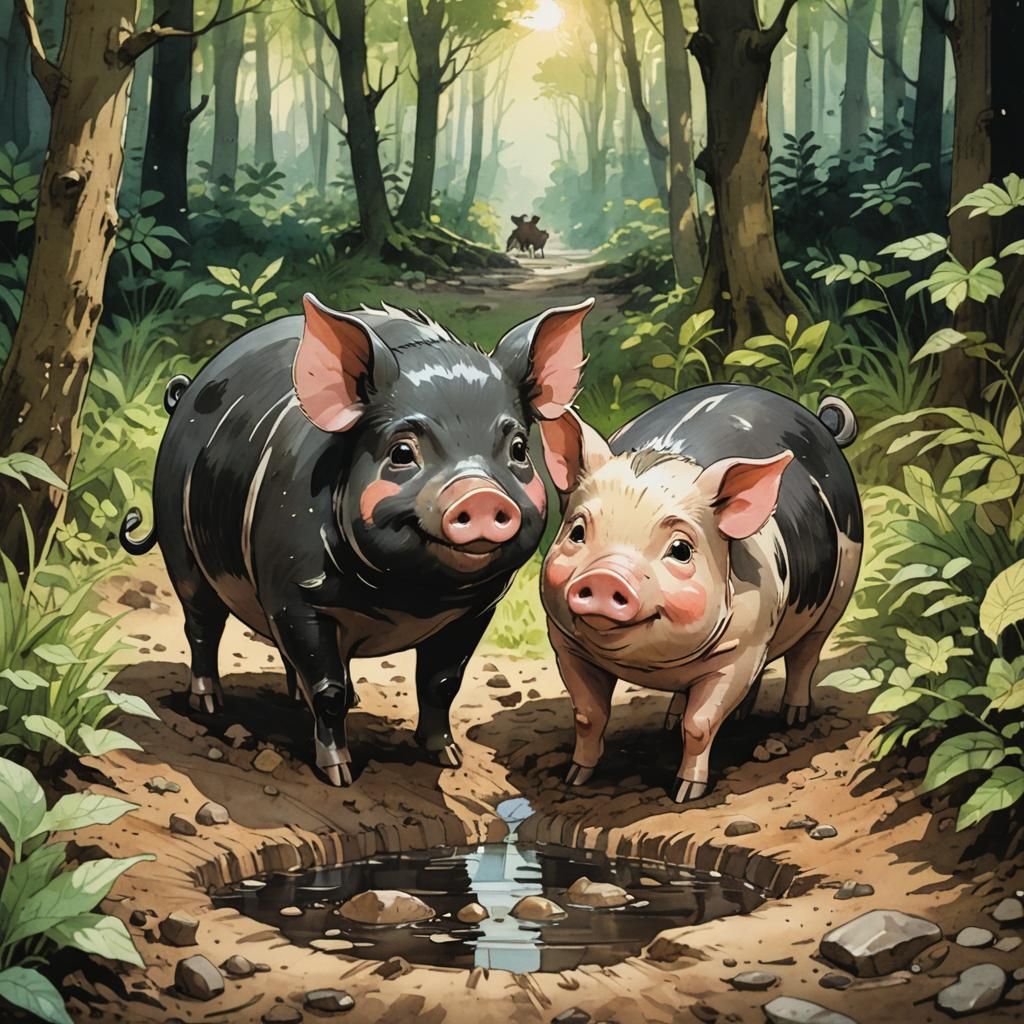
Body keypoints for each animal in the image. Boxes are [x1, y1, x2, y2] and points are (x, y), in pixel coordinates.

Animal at [120, 295, 593, 785]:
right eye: (402, 452)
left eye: (517, 449)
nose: (480, 494)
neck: (408, 597)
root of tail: (187, 390)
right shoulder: (293, 593)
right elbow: (327, 689)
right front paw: (339, 775)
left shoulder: (478, 607)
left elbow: (442, 682)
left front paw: (447, 756)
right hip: (180, 547)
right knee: (201, 626)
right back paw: (208, 702)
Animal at [538, 384, 862, 802]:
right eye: (577, 532)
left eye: (681, 550)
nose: (608, 575)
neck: (649, 666)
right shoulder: (566, 643)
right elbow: (588, 715)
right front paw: (576, 777)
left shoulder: (740, 651)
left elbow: (700, 723)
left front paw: (684, 793)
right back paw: (689, 717)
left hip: (838, 593)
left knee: (806, 656)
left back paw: (793, 717)